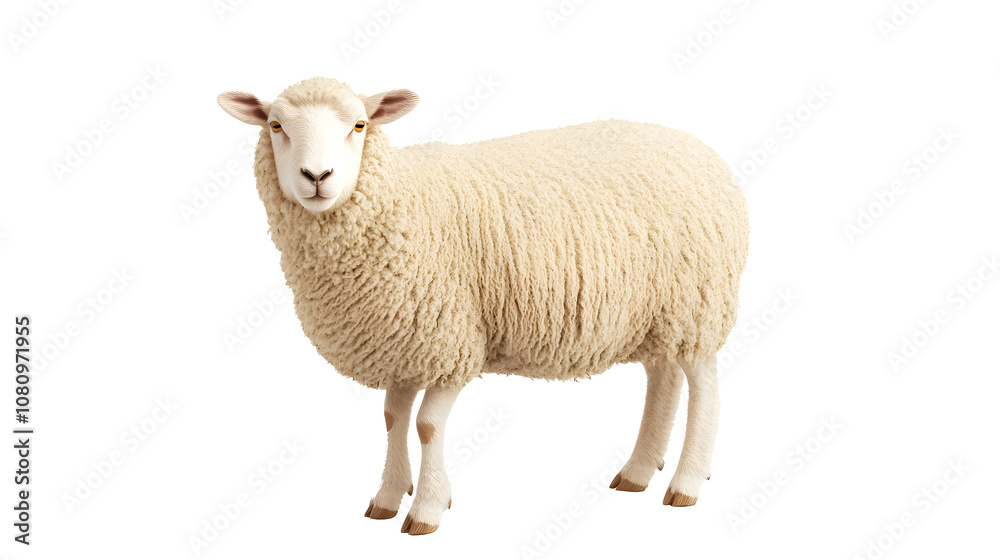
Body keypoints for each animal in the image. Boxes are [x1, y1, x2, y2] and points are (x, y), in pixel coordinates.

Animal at [218, 77, 749, 535]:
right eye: (276, 126)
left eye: (360, 125)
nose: (317, 176)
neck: (402, 203)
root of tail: (701, 149)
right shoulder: (405, 342)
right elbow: (392, 419)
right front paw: (388, 497)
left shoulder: (451, 341)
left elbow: (427, 425)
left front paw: (427, 508)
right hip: (659, 311)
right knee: (663, 377)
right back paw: (638, 470)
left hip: (699, 302)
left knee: (704, 386)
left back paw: (686, 482)